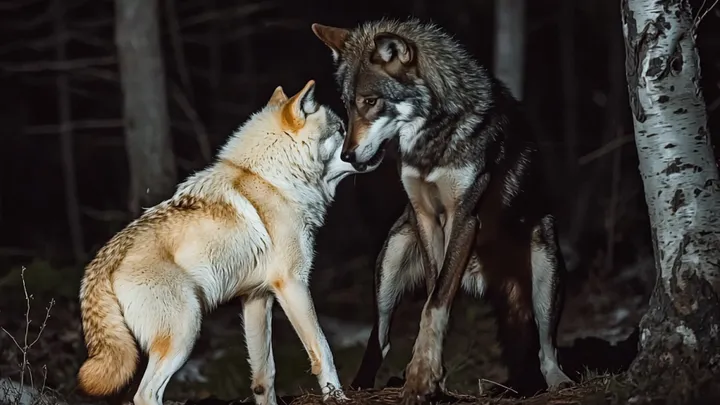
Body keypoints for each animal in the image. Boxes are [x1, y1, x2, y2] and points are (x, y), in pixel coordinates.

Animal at [76, 80, 380, 405]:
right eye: (341, 130)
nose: (378, 147)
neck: (274, 180)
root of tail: (102, 261)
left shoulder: (257, 297)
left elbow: (265, 376)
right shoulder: (293, 284)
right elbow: (323, 350)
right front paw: (338, 398)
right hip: (185, 333)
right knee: (145, 394)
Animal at [311, 18, 574, 403]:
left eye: (370, 102)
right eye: (346, 105)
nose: (346, 156)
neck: (431, 140)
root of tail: (479, 276)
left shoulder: (464, 218)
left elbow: (434, 304)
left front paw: (422, 377)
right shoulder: (426, 218)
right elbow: (432, 301)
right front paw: (428, 376)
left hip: (546, 266)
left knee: (546, 344)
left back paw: (557, 381)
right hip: (388, 266)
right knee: (381, 338)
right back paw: (360, 385)